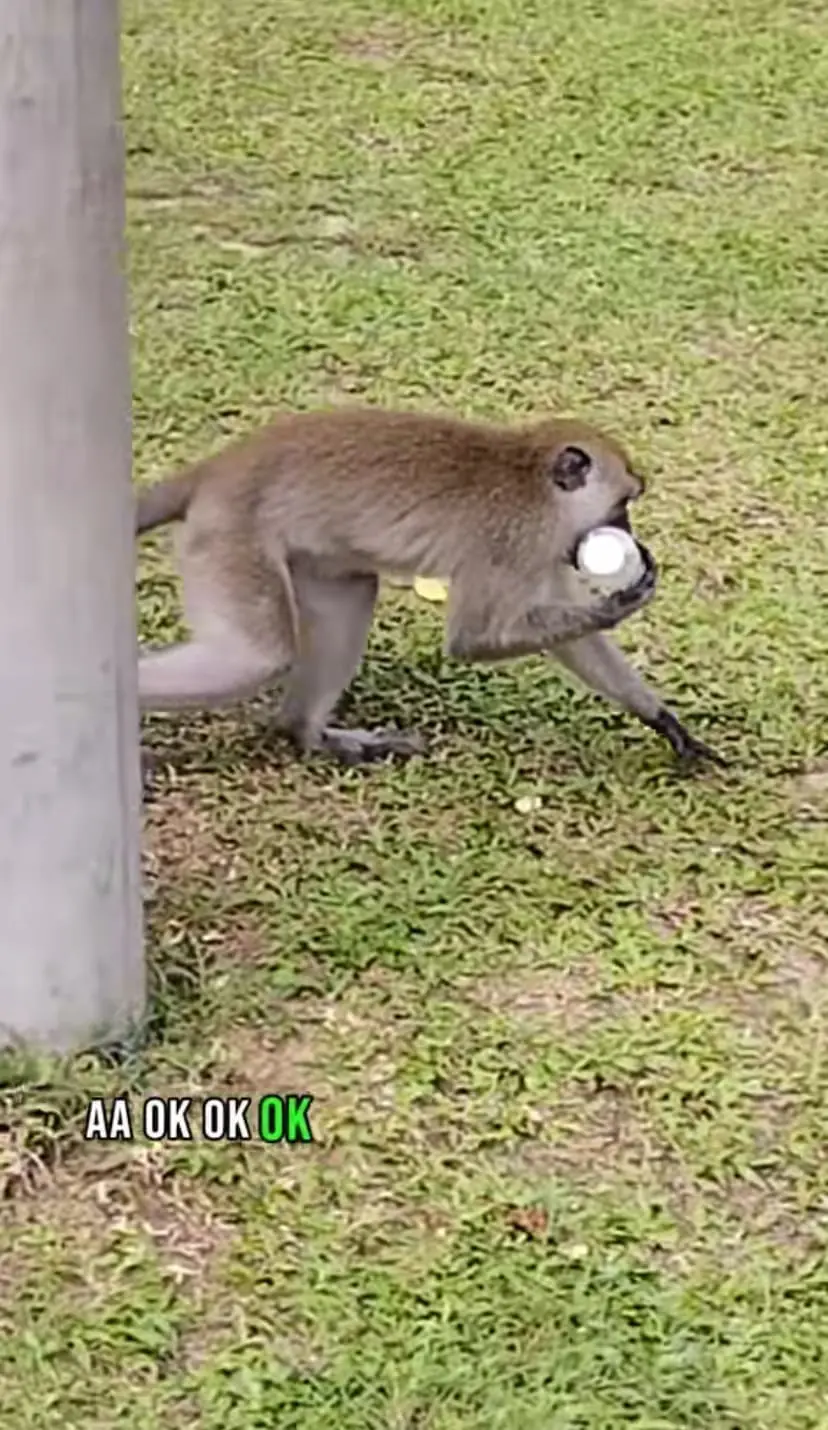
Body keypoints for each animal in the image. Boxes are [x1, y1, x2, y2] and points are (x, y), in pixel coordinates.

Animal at [135, 407, 725, 772]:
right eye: (622, 505)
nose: (628, 535)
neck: (532, 479)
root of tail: (216, 471)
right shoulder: (514, 537)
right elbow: (472, 640)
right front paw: (623, 601)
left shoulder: (546, 545)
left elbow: (572, 641)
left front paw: (662, 719)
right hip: (229, 538)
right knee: (257, 656)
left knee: (353, 592)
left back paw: (306, 732)